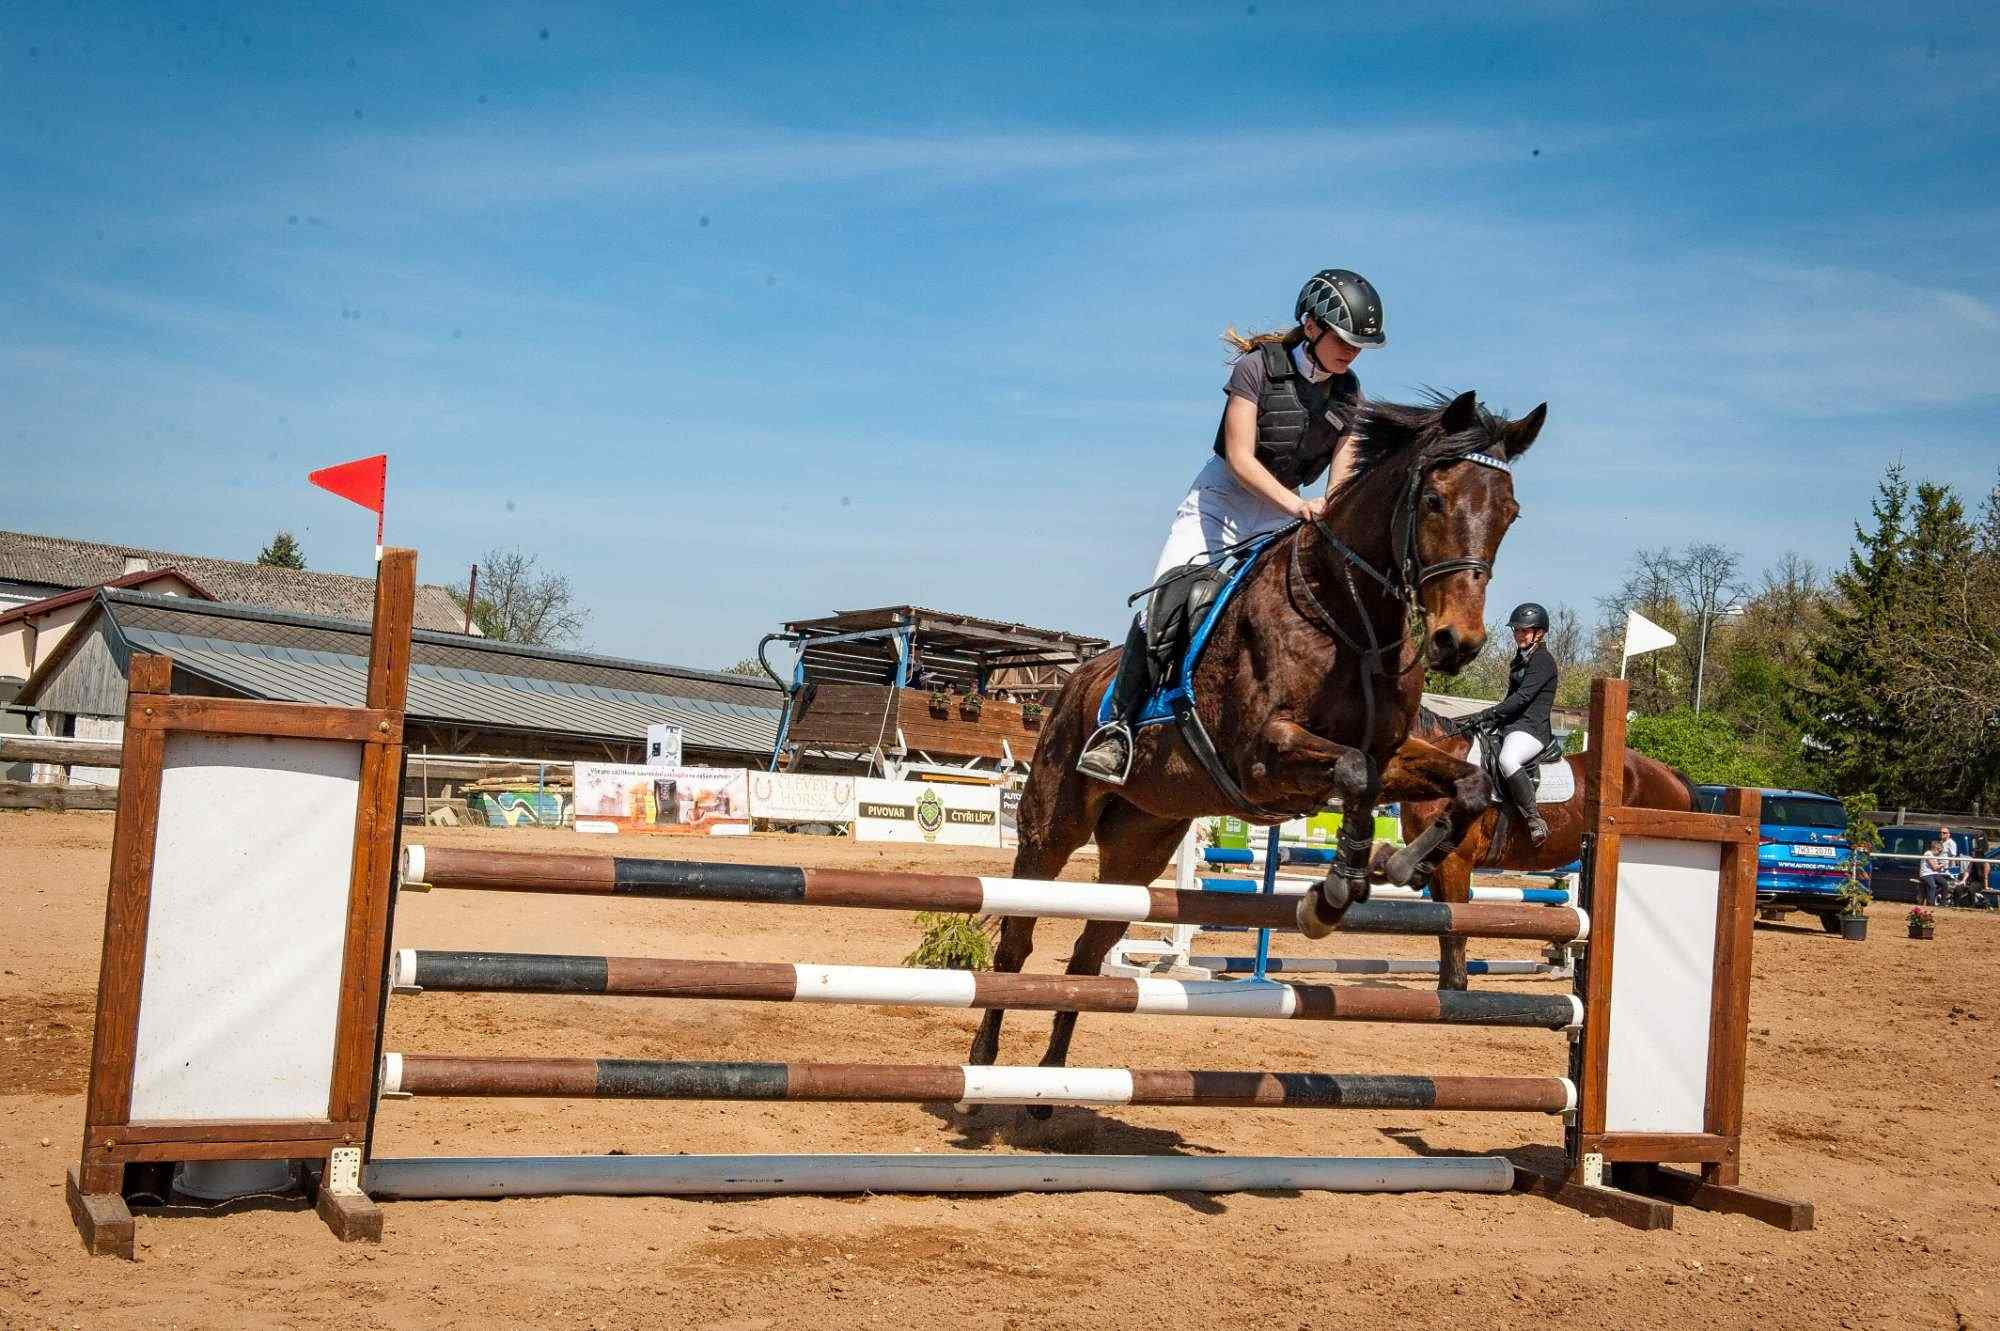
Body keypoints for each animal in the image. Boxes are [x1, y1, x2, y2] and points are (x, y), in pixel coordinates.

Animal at [968, 389, 1544, 1071]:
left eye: (1510, 514)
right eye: (1434, 500)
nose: (1459, 643)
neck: (1348, 616)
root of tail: (1072, 680)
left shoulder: (1392, 750)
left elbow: (1463, 784)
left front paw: (1394, 865)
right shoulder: (1262, 757)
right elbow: (1354, 773)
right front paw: (1335, 892)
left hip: (1141, 843)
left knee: (1087, 953)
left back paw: (1051, 1080)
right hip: (1052, 828)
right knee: (1017, 939)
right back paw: (983, 1066)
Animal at [1400, 703, 1696, 983]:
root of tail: (1669, 772)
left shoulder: (1455, 862)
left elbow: (1455, 931)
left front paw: (1454, 988)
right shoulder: (1435, 865)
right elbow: (1442, 928)